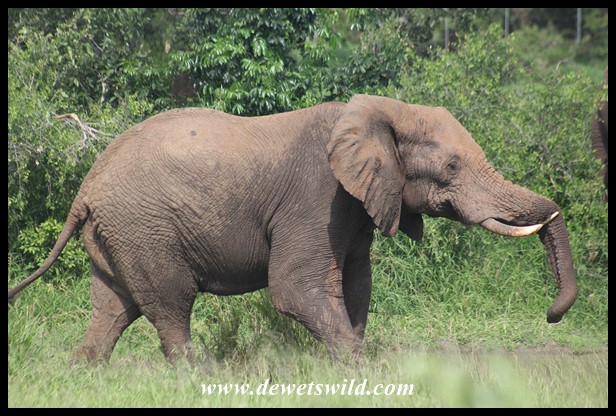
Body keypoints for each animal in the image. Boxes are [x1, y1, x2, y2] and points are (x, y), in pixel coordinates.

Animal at [8, 94, 578, 363]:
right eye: (453, 167)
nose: (552, 316)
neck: (382, 110)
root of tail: (86, 185)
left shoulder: (354, 206)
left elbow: (357, 284)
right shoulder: (318, 197)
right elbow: (296, 288)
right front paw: (359, 373)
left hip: (119, 234)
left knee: (112, 309)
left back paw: (83, 373)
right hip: (144, 228)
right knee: (170, 305)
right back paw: (200, 379)